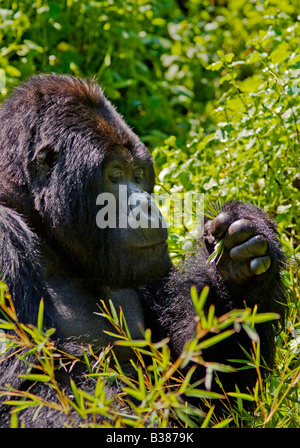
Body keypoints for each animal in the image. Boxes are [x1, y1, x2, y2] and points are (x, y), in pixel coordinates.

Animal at [0, 73, 286, 428]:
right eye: (115, 174)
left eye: (138, 175)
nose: (148, 206)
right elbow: (28, 389)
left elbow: (203, 389)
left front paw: (240, 270)